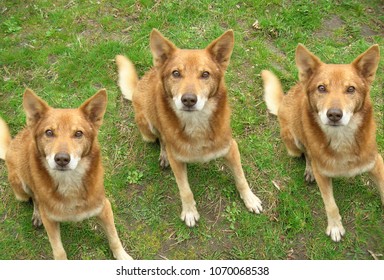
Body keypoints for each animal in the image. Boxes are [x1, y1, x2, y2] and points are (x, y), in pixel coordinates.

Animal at [0, 88, 132, 260]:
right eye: (49, 132)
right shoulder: (50, 220)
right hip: (21, 187)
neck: (69, 182)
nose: (62, 159)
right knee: (34, 198)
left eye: (78, 133)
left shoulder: (104, 208)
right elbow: (59, 250)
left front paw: (123, 256)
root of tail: (11, 144)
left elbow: (114, 238)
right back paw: (37, 213)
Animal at [115, 28, 262, 226]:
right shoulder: (178, 161)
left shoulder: (231, 148)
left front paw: (250, 199)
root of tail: (140, 83)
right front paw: (190, 211)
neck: (196, 124)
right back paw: (164, 154)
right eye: (176, 73)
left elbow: (241, 177)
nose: (189, 100)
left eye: (205, 74)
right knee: (162, 139)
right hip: (148, 127)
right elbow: (185, 189)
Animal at [262, 44, 382, 242]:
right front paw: (335, 226)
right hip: (294, 142)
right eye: (321, 88)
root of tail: (285, 99)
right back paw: (309, 169)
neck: (341, 139)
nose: (334, 114)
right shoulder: (323, 175)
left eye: (351, 89)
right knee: (307, 154)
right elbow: (330, 203)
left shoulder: (377, 163)